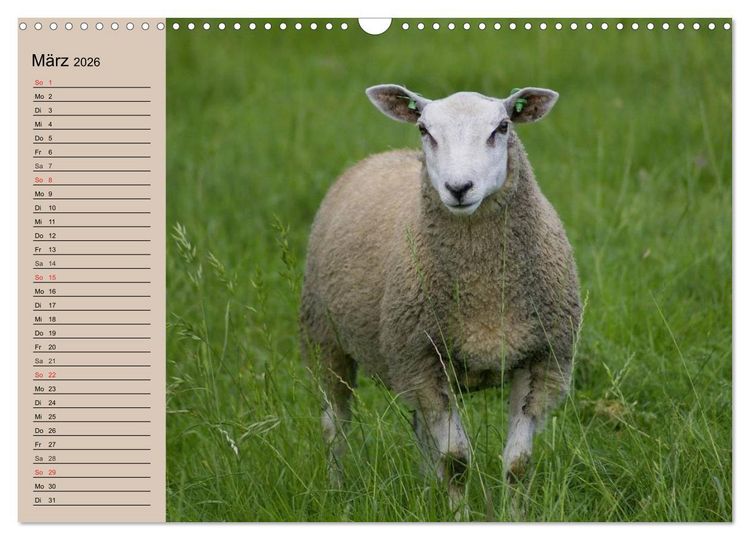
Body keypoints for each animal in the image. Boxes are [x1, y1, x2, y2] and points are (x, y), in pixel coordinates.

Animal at [299, 84, 581, 509]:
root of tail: (382, 155)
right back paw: (337, 494)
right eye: (424, 129)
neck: (483, 286)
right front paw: (458, 513)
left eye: (502, 127)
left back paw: (423, 488)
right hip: (326, 339)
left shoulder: (543, 360)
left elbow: (517, 464)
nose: (459, 188)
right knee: (335, 425)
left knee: (418, 428)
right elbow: (456, 460)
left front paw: (514, 514)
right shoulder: (422, 361)